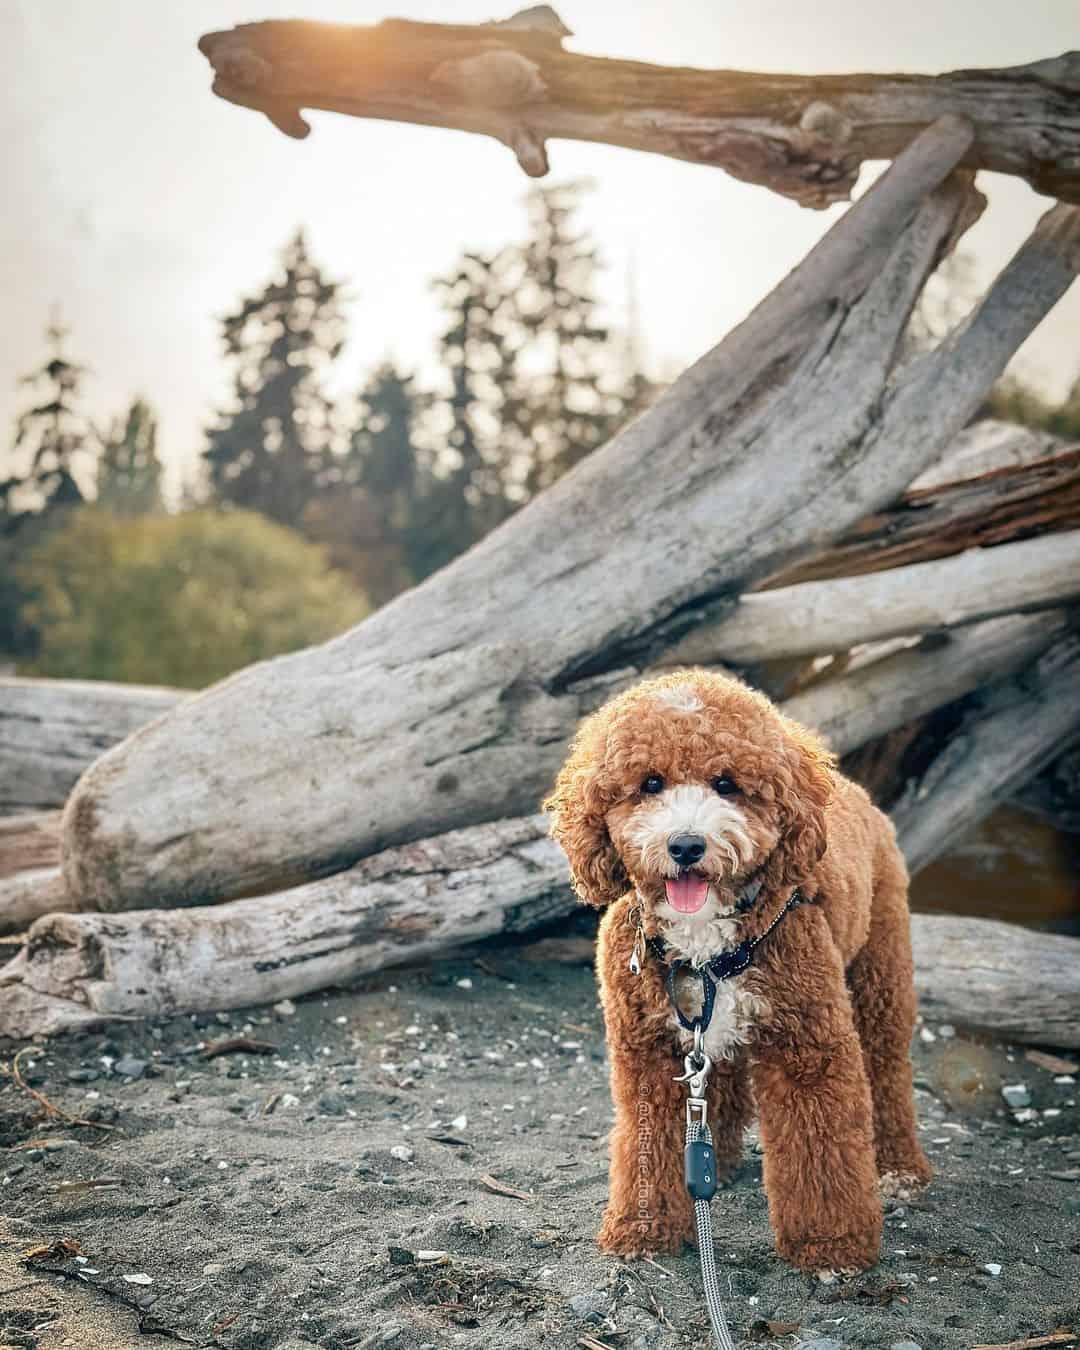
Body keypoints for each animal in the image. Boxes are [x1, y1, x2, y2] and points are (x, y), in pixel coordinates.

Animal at [545, 672, 934, 1274]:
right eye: (649, 783)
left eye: (726, 784)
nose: (686, 845)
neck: (703, 943)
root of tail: (851, 790)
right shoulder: (649, 1051)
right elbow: (648, 1141)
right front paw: (644, 1228)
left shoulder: (808, 1047)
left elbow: (821, 1142)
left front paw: (832, 1243)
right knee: (720, 1078)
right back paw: (716, 1161)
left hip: (880, 972)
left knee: (887, 1070)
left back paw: (898, 1171)